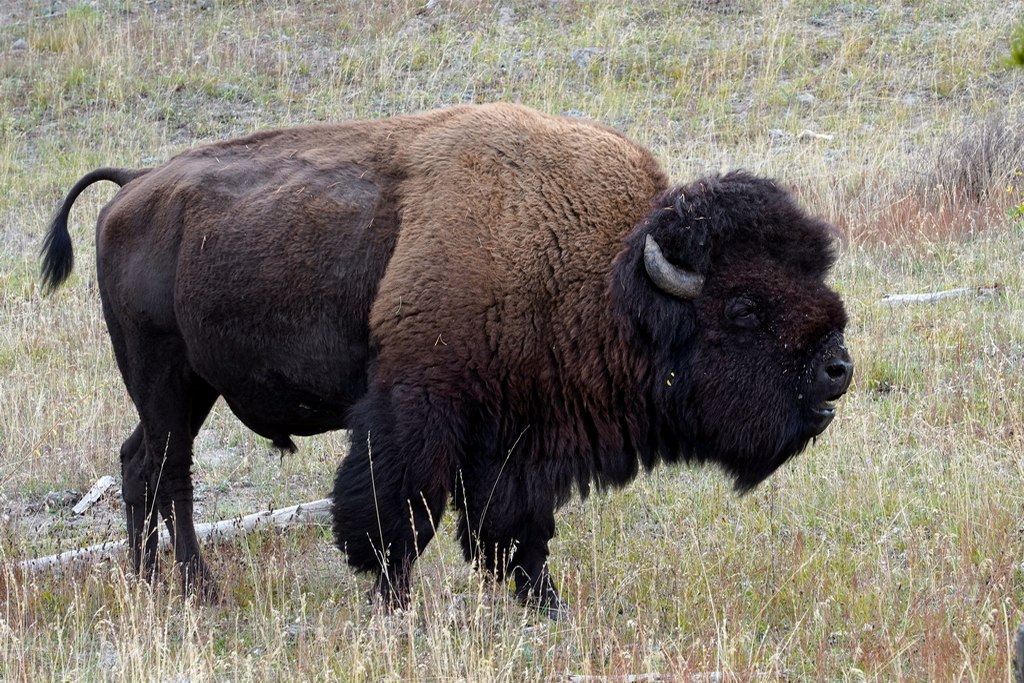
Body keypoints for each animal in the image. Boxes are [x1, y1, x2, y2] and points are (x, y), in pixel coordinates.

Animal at [41, 102, 847, 618]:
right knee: (166, 472)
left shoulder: (522, 433)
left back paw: (158, 586)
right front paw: (391, 604)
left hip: (188, 386)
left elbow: (514, 527)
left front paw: (545, 605)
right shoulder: (420, 405)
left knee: (144, 463)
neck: (606, 272)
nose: (837, 367)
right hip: (165, 378)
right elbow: (399, 513)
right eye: (743, 309)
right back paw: (190, 589)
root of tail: (135, 184)